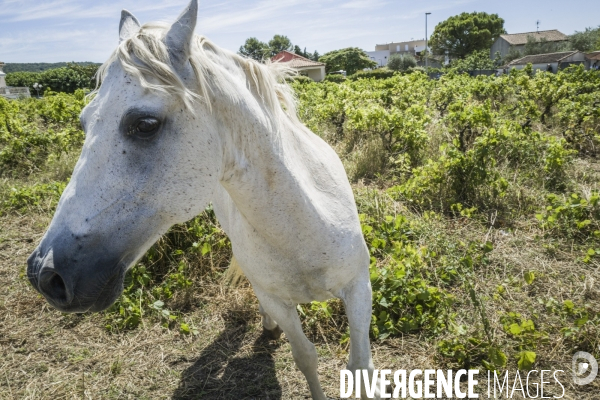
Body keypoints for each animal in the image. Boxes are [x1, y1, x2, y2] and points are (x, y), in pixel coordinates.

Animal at [27, 1, 380, 398]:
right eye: (84, 123)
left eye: (145, 124)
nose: (44, 274)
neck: (303, 231)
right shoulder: (280, 301)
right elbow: (306, 358)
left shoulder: (359, 289)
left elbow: (359, 365)